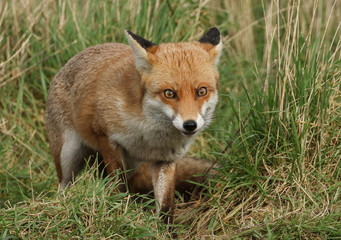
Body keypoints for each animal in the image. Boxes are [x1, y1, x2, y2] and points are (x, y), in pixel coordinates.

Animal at [45, 27, 222, 224]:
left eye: (201, 91)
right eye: (169, 93)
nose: (190, 125)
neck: (149, 136)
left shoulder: (166, 159)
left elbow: (166, 205)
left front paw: (164, 229)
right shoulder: (106, 137)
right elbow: (118, 185)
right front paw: (121, 213)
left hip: (131, 165)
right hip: (69, 154)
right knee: (63, 185)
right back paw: (62, 207)